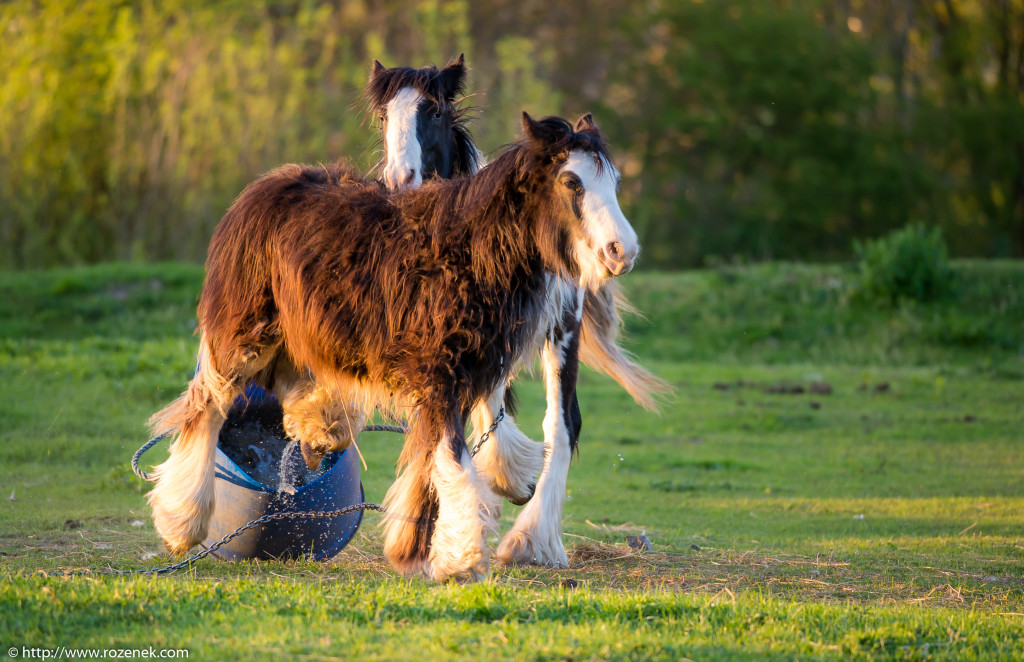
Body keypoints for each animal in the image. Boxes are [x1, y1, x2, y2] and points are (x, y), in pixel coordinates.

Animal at [146, 114, 638, 582]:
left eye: (614, 182)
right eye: (572, 183)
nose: (623, 252)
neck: (472, 253)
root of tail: (261, 188)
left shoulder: (462, 377)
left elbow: (434, 458)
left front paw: (414, 550)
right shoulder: (442, 373)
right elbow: (450, 456)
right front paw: (461, 560)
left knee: (289, 389)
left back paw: (319, 432)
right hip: (245, 334)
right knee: (208, 407)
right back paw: (181, 523)